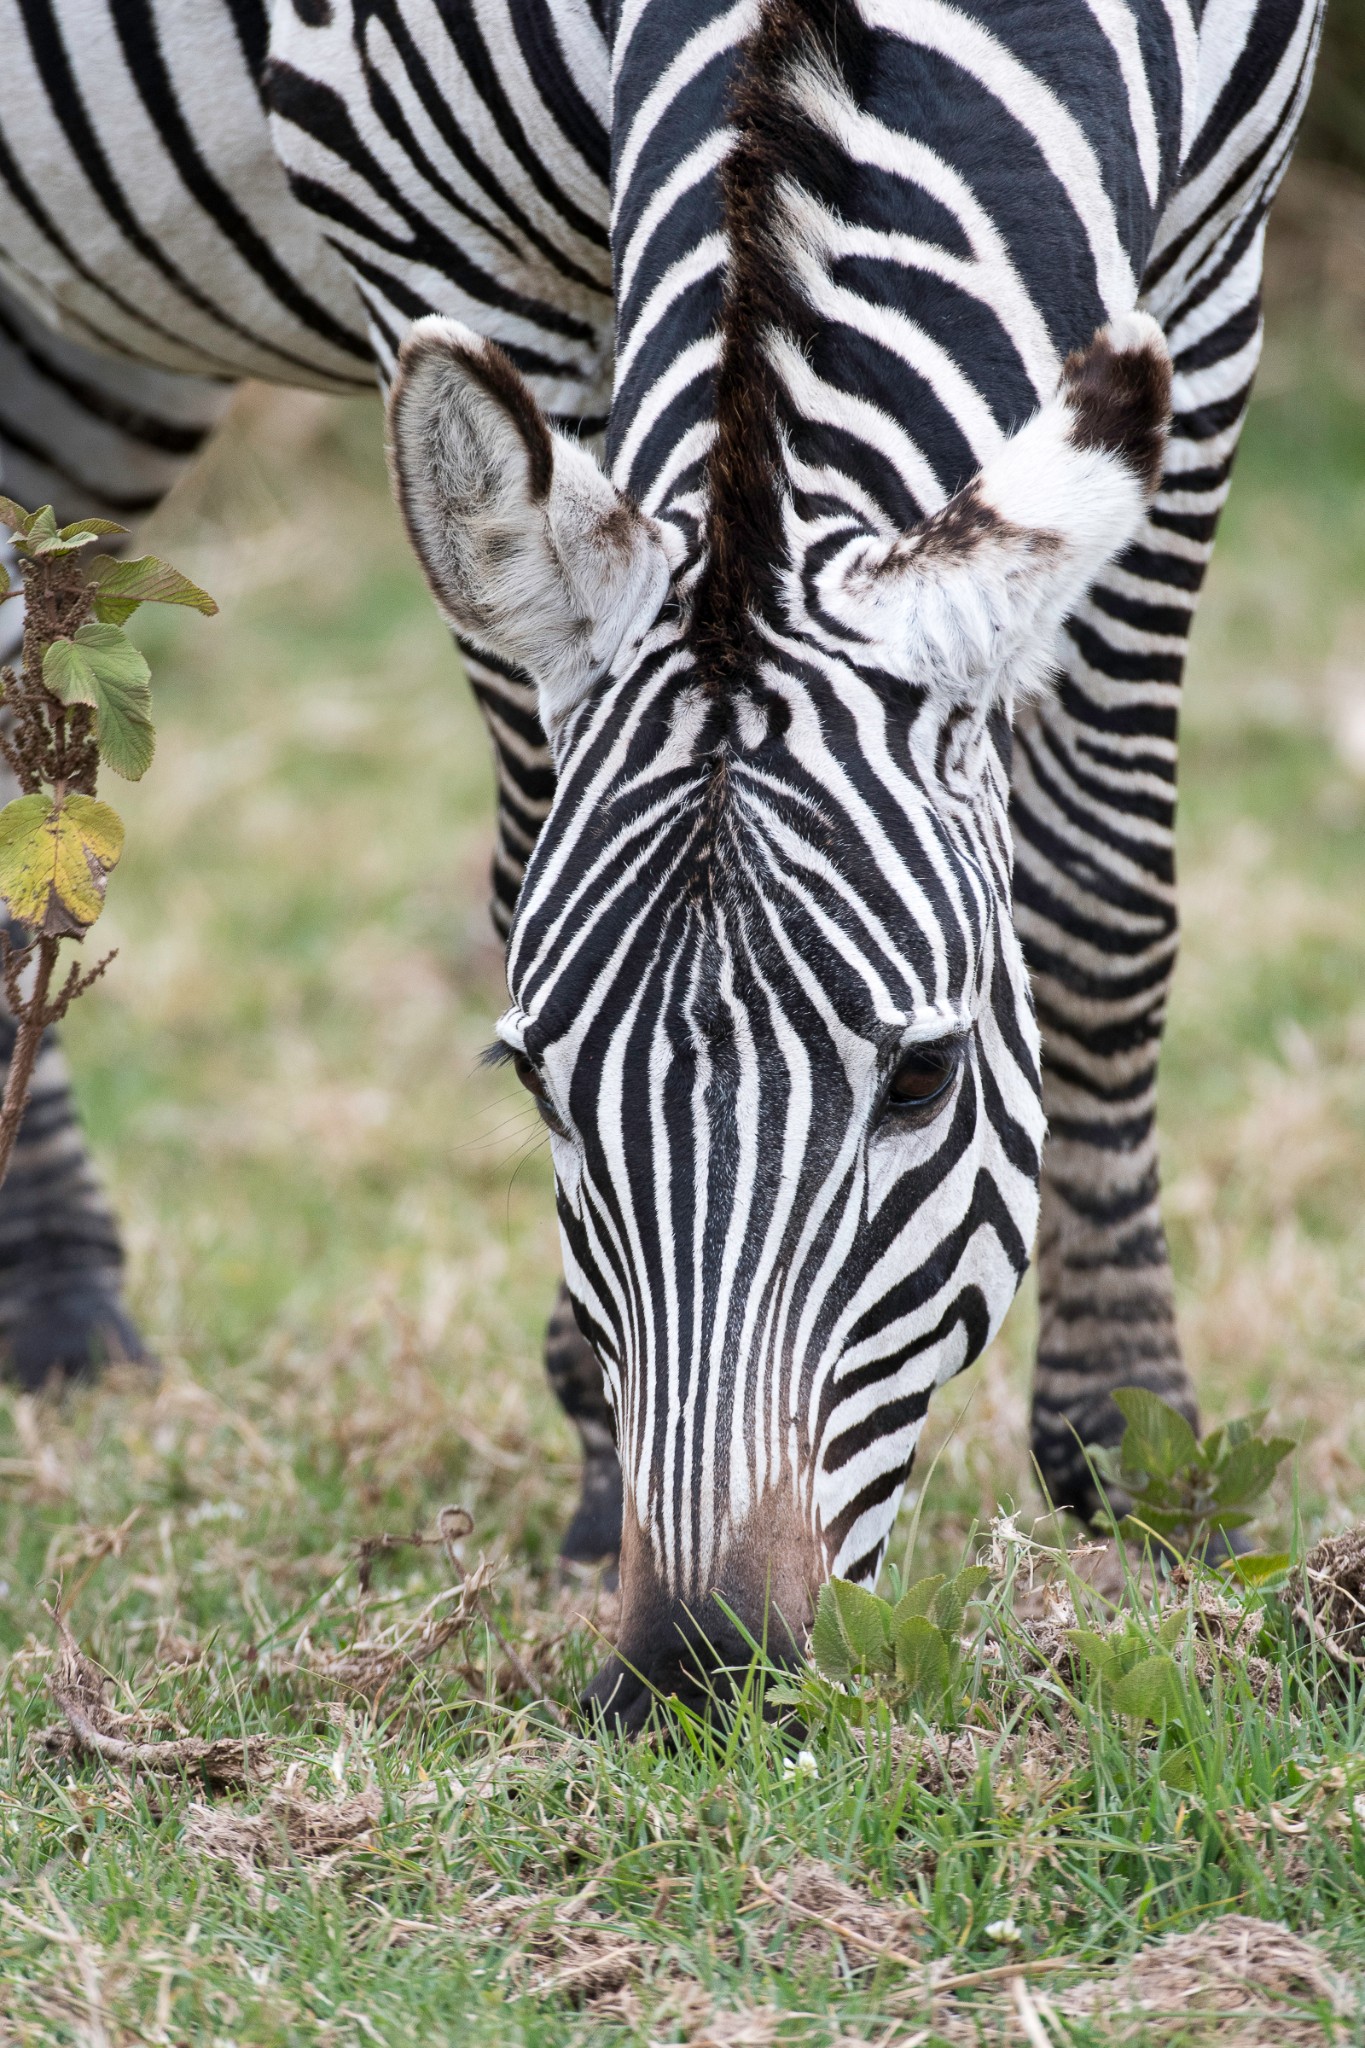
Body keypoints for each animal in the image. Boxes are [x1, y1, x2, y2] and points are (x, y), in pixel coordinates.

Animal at [0, 0, 1326, 1728]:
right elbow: (523, 839)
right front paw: (588, 1448)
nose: (697, 1681)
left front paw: (1134, 1447)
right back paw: (59, 1310)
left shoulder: (1213, 262)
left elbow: (1103, 891)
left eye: (927, 1079)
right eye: (534, 1082)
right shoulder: (418, 210)